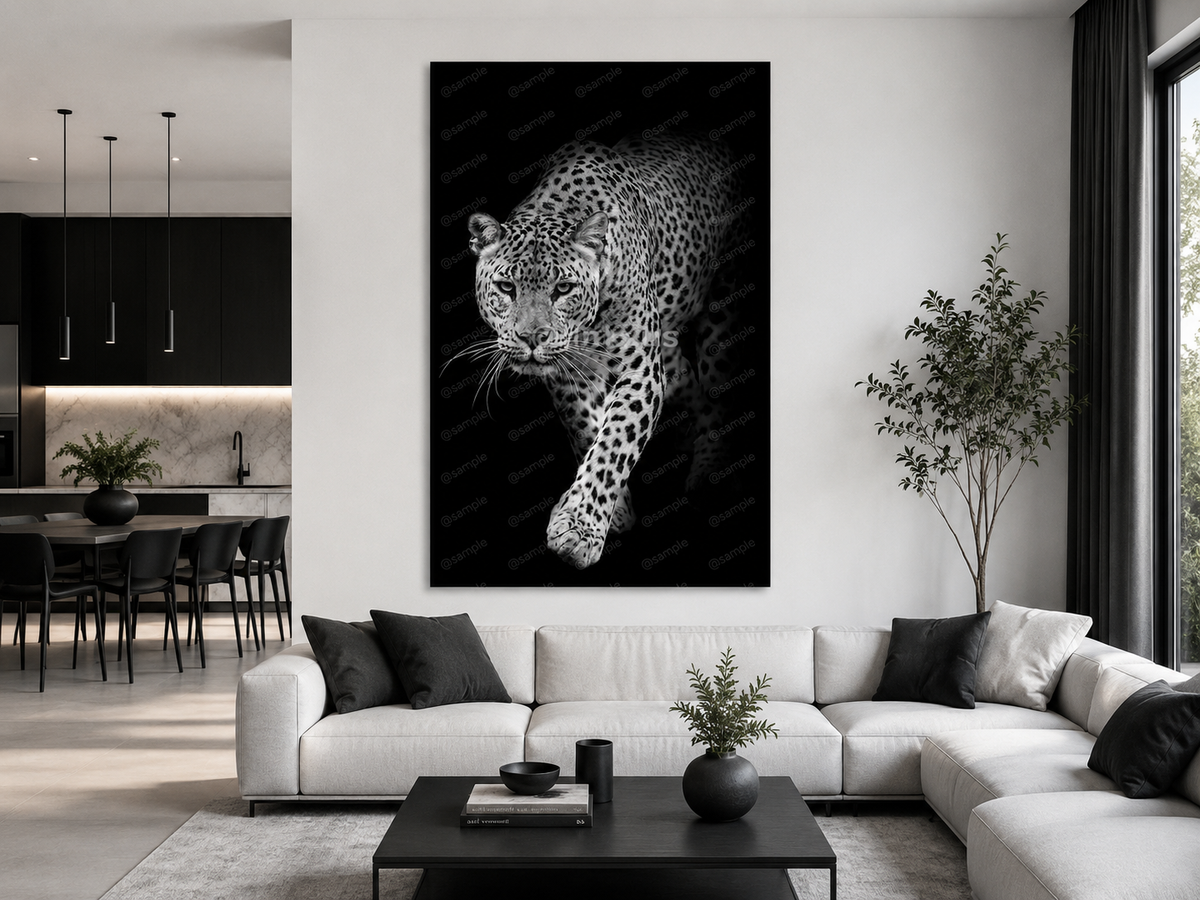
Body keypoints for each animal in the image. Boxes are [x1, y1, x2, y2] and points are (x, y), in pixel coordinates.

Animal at [465, 131, 751, 570]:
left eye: (563, 288)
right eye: (506, 287)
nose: (532, 338)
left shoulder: (640, 372)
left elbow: (614, 441)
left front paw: (579, 530)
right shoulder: (571, 374)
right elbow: (587, 430)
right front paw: (612, 513)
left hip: (722, 302)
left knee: (717, 386)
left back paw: (710, 471)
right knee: (689, 383)